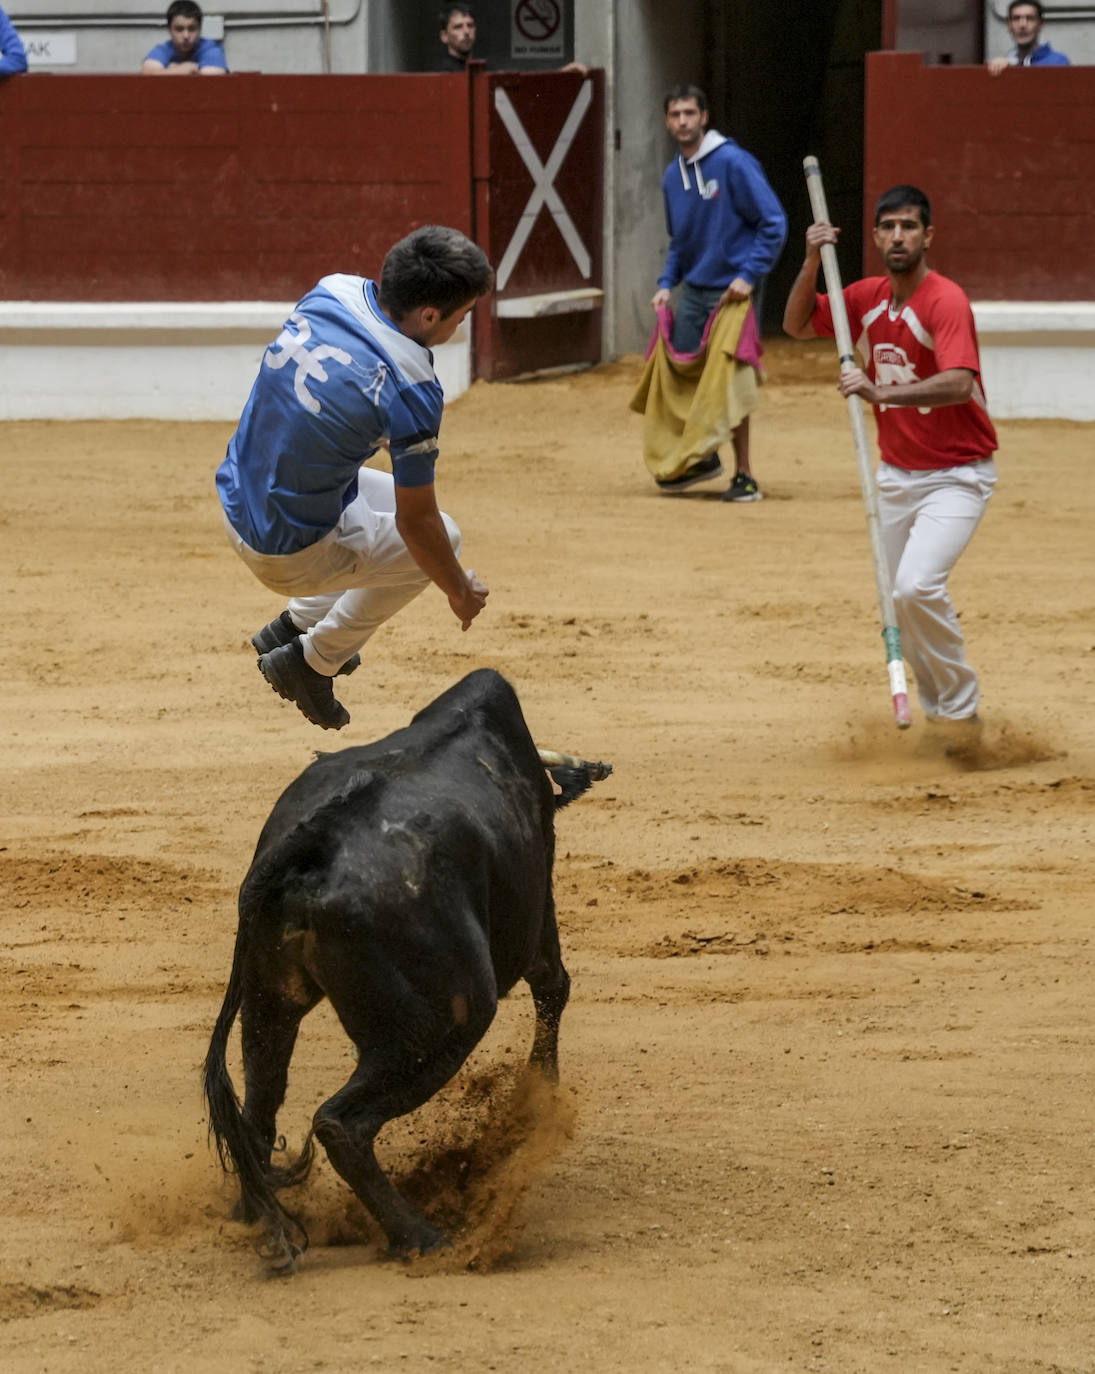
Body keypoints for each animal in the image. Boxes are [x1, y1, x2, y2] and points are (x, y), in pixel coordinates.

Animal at [203, 670, 607, 1269]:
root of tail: (315, 844)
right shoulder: (538, 900)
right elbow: (553, 983)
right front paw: (538, 1099)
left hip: (269, 997)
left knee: (262, 1099)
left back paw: (257, 1215)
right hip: (441, 1024)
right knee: (340, 1123)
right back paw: (422, 1236)